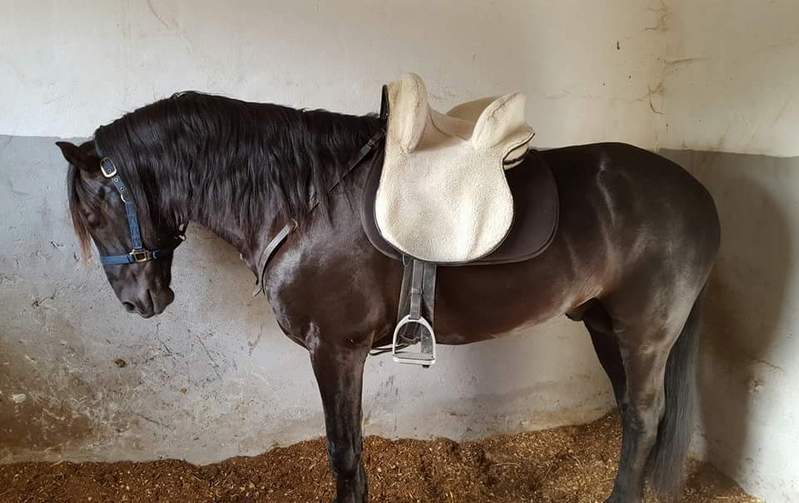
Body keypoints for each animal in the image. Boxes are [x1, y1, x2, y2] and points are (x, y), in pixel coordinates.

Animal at [56, 91, 720, 503]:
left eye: (92, 213)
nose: (139, 303)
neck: (305, 203)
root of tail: (696, 193)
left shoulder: (336, 350)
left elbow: (343, 452)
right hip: (605, 326)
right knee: (634, 415)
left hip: (645, 332)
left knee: (644, 413)